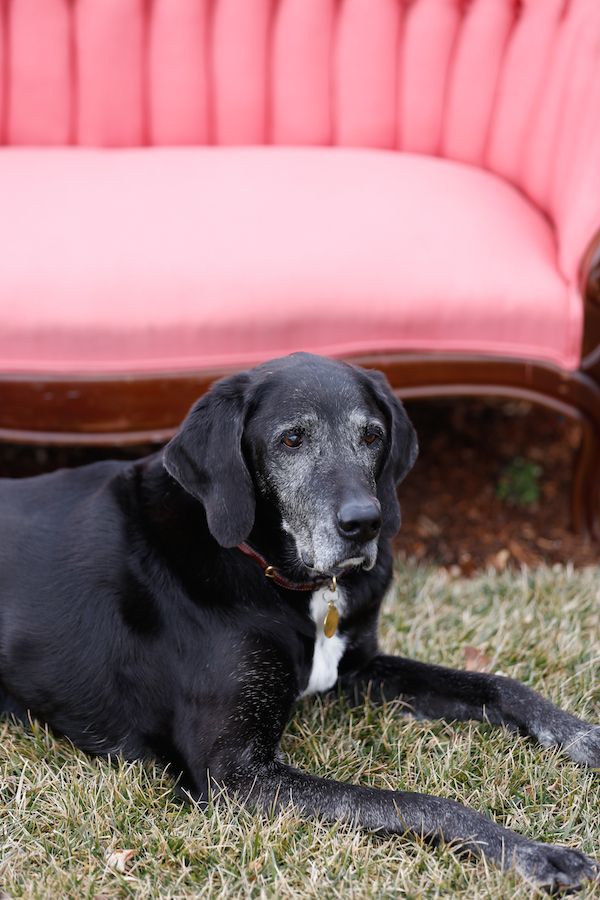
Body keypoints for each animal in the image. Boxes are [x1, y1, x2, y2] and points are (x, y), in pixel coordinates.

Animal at [0, 356, 596, 888]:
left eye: (373, 436)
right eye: (291, 440)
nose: (365, 523)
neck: (277, 576)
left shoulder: (358, 669)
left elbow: (497, 685)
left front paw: (584, 735)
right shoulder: (235, 774)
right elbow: (418, 803)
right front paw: (531, 851)